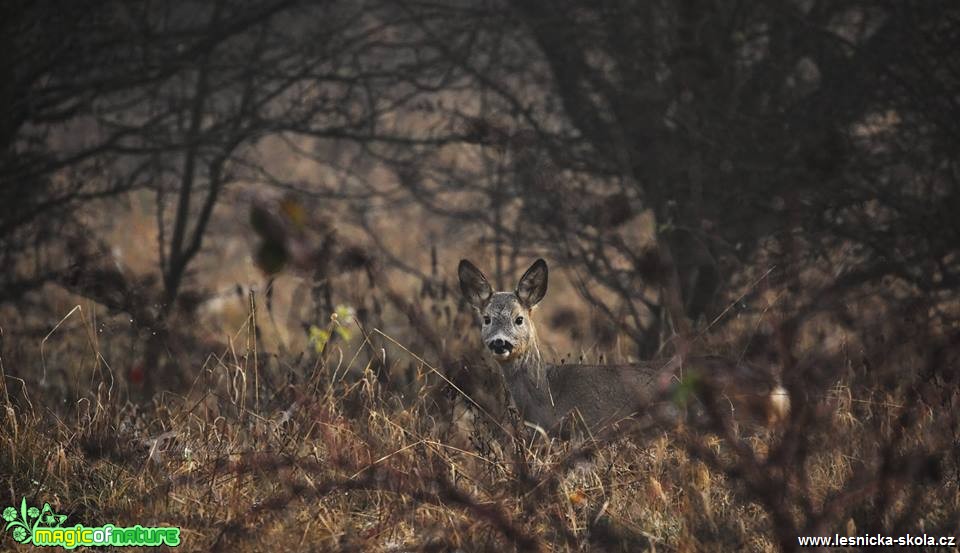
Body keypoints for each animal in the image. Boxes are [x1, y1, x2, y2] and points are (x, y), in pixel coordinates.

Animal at [458, 258, 788, 436]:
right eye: (486, 319)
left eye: (519, 319)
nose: (500, 343)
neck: (548, 394)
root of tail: (777, 389)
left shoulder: (589, 429)